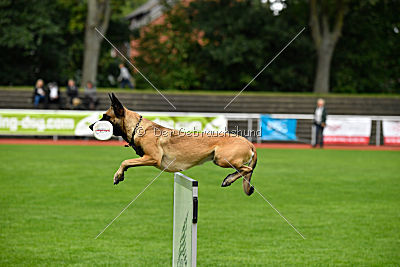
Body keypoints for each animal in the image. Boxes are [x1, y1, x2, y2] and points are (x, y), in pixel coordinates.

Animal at [89, 94, 258, 197]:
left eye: (105, 117)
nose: (91, 126)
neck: (138, 127)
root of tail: (250, 143)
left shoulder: (152, 158)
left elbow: (125, 162)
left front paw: (118, 175)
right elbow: (127, 162)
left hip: (222, 159)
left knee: (247, 169)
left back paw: (229, 179)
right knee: (245, 170)